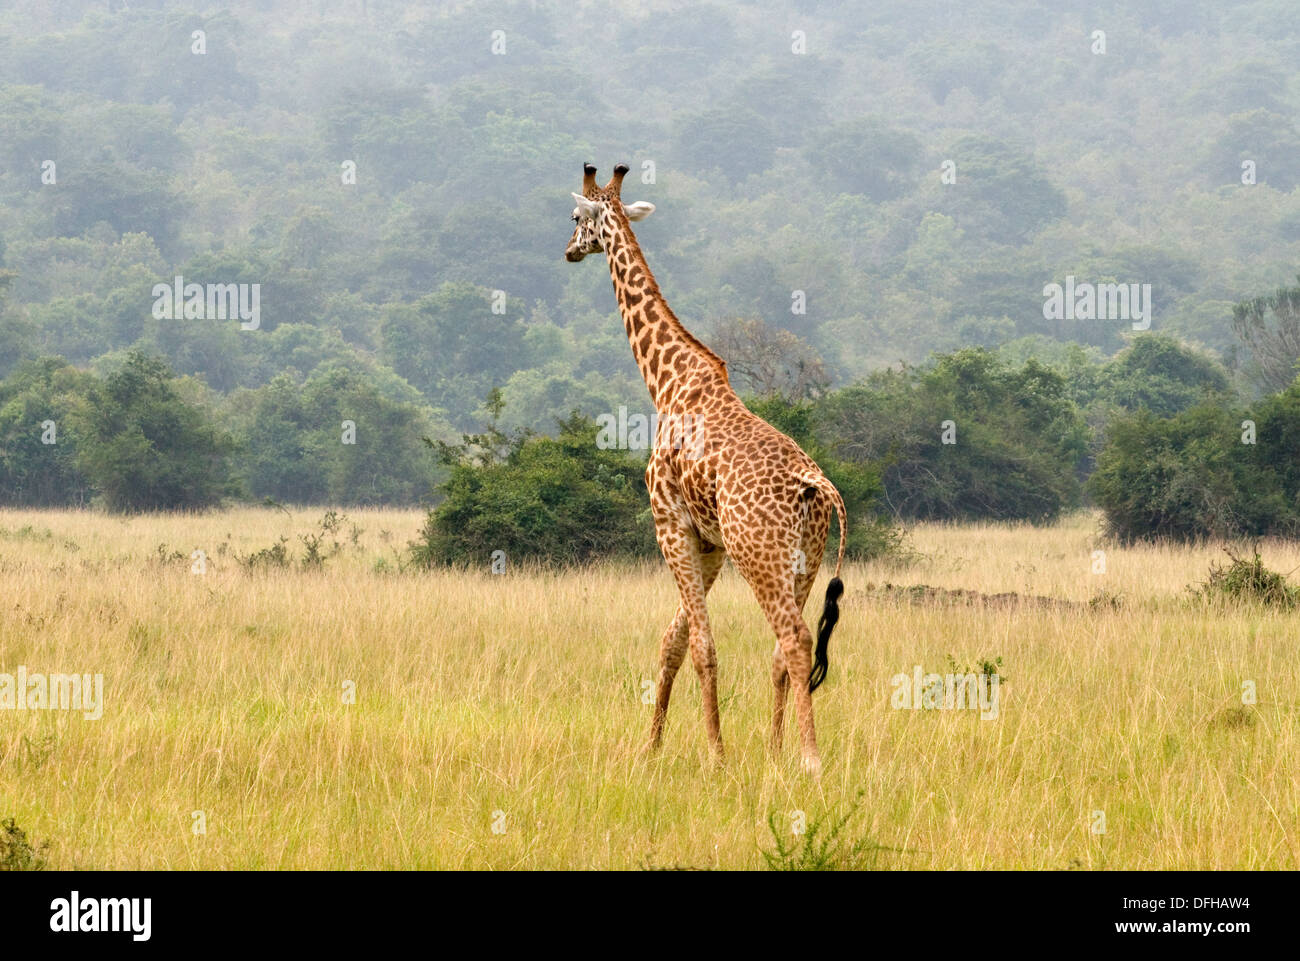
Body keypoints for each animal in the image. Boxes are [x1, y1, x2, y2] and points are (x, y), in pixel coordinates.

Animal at [564, 163, 847, 775]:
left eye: (576, 216)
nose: (569, 250)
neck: (667, 383)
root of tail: (815, 486)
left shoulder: (669, 521)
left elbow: (701, 645)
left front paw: (715, 753)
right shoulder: (709, 540)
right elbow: (672, 641)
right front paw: (650, 746)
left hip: (759, 554)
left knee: (794, 640)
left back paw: (809, 760)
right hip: (805, 561)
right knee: (781, 650)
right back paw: (775, 752)